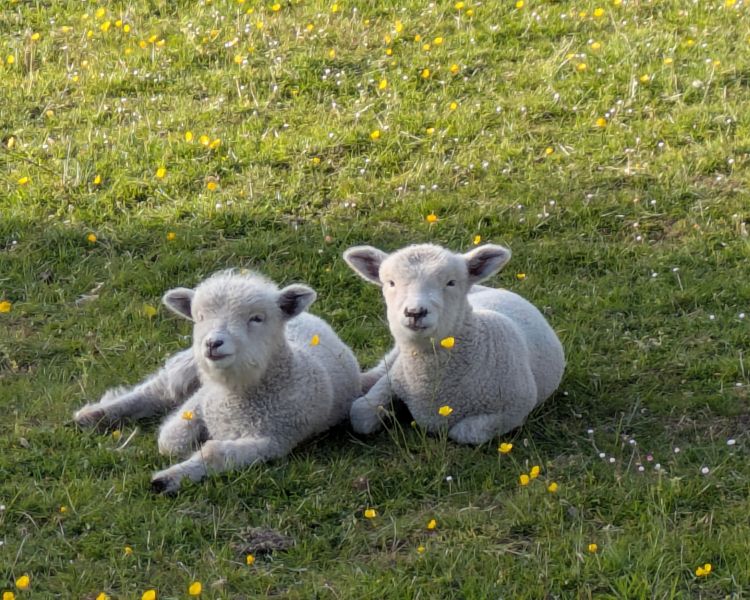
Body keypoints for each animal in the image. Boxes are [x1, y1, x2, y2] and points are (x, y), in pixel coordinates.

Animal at [75, 270, 361, 493]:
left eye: (257, 318)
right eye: (199, 317)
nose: (212, 343)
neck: (235, 395)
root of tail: (311, 317)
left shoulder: (274, 440)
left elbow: (213, 453)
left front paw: (169, 478)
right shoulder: (199, 400)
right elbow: (171, 441)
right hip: (189, 362)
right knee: (159, 389)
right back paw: (94, 414)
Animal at [343, 243, 565, 445]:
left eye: (451, 283)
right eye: (390, 283)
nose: (415, 312)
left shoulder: (514, 410)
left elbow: (463, 432)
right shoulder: (394, 380)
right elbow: (360, 413)